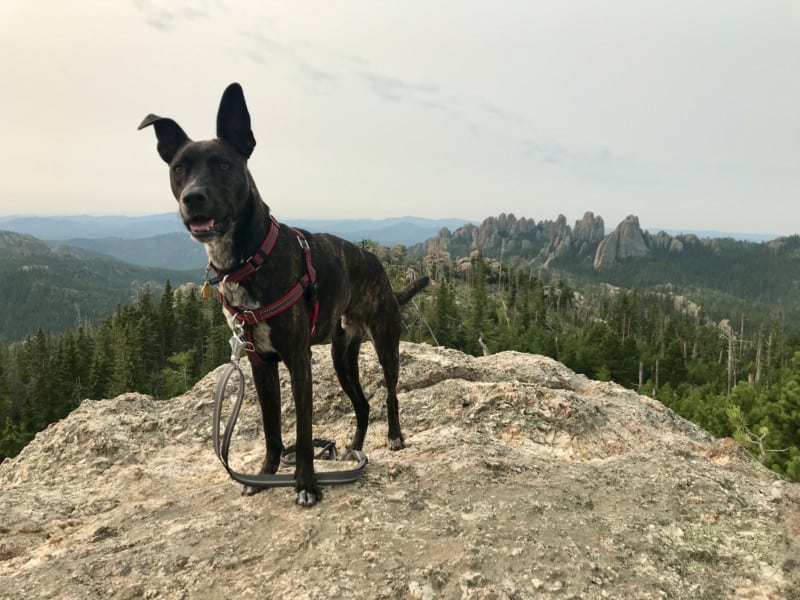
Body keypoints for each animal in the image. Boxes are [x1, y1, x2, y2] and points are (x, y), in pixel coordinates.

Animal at [141, 83, 428, 506]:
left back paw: (394, 437)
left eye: (223, 165)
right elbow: (272, 429)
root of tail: (378, 267)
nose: (193, 197)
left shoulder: (297, 360)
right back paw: (355, 449)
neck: (248, 258)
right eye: (179, 168)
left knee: (389, 393)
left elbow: (304, 433)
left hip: (385, 342)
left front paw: (306, 484)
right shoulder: (260, 362)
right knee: (362, 405)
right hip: (342, 357)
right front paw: (264, 475)